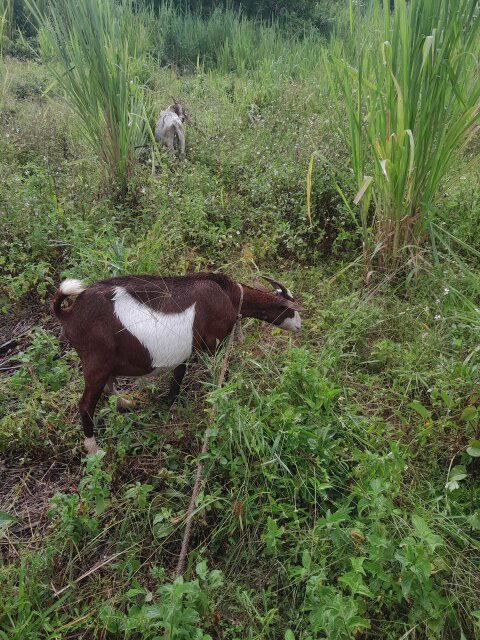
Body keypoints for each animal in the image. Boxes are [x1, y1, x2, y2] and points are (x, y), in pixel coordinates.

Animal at [52, 272, 302, 454]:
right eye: (289, 308)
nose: (300, 326)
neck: (230, 296)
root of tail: (68, 313)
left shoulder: (187, 349)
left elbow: (179, 374)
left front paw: (170, 403)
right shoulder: (214, 343)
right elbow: (218, 375)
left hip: (105, 364)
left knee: (108, 385)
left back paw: (127, 403)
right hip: (96, 362)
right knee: (86, 405)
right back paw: (94, 449)